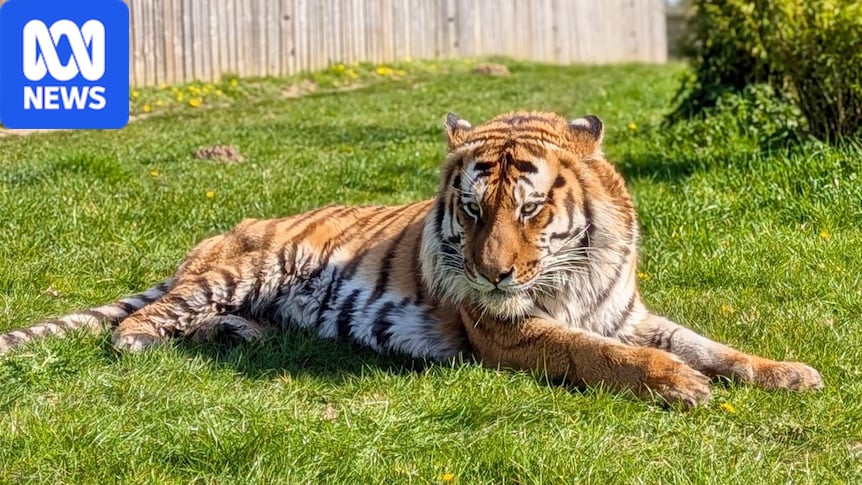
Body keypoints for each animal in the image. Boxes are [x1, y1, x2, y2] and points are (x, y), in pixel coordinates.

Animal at [0, 111, 823, 407]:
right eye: (473, 209)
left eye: (530, 209)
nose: (493, 273)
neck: (576, 269)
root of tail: (215, 237)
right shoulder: (508, 332)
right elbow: (600, 355)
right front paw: (678, 384)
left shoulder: (626, 312)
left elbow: (708, 343)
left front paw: (789, 373)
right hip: (239, 270)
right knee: (139, 327)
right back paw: (161, 343)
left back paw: (252, 336)